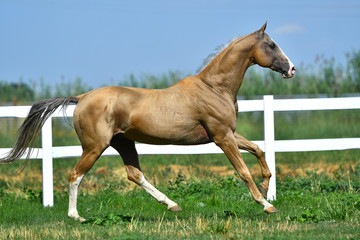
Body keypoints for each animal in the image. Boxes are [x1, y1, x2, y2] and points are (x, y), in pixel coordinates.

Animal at [0, 22, 296, 221]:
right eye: (271, 45)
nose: (291, 69)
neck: (214, 88)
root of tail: (81, 97)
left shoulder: (228, 134)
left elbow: (258, 150)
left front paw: (266, 187)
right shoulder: (222, 137)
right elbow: (243, 171)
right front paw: (267, 204)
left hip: (123, 143)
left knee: (135, 174)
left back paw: (172, 204)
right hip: (95, 146)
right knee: (76, 175)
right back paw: (77, 217)